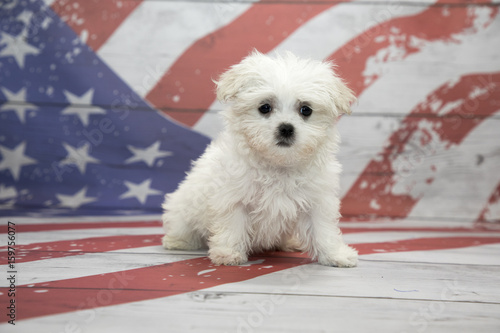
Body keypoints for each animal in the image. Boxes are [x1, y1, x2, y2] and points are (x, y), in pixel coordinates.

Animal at [162, 50, 358, 268]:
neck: (278, 164)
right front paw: (228, 253)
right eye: (264, 107)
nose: (286, 128)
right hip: (183, 207)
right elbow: (233, 226)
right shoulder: (233, 198)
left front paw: (335, 254)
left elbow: (323, 230)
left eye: (306, 109)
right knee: (182, 225)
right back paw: (178, 241)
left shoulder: (317, 201)